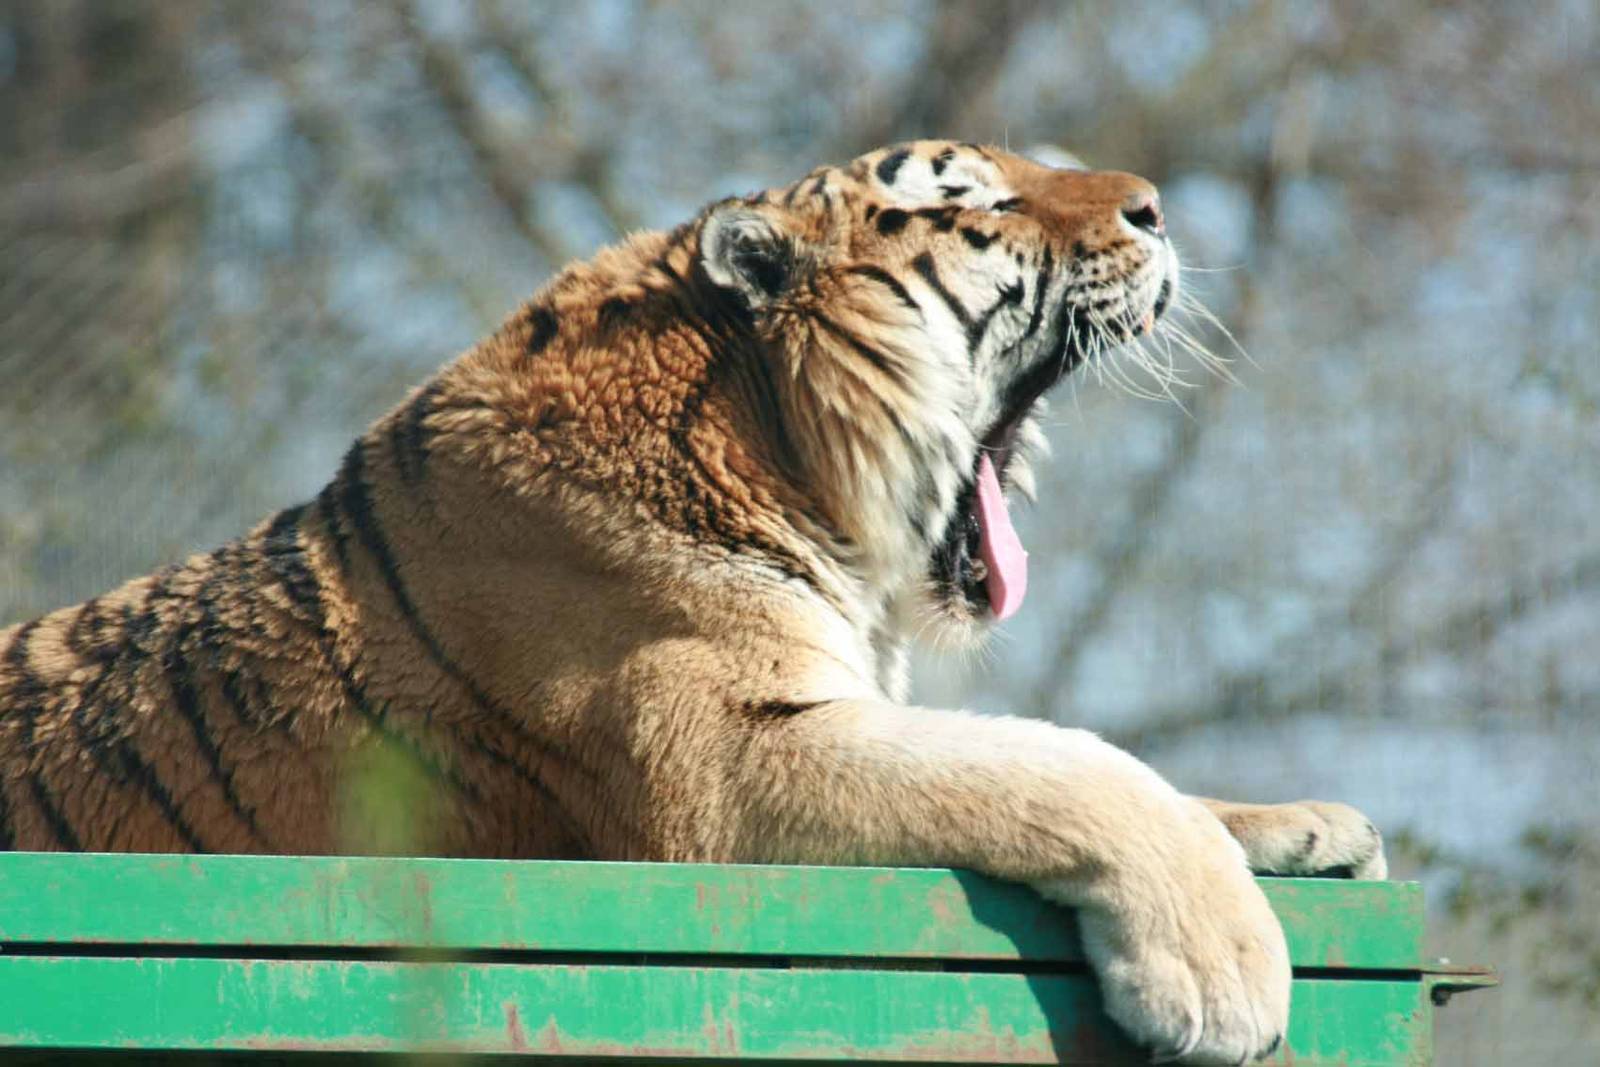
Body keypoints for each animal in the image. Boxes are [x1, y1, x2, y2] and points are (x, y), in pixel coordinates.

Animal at [0, 141, 1386, 1063]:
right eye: (984, 199)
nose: (1155, 206)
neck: (779, 453)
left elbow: (1109, 767)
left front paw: (1315, 826)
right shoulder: (723, 759)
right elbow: (1065, 765)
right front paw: (1220, 967)